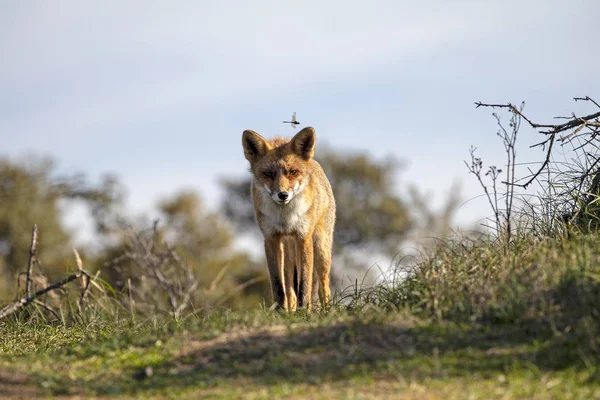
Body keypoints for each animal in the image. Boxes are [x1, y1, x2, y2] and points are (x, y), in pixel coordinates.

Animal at [244, 126, 338, 310]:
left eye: (292, 172)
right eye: (268, 174)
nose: (283, 195)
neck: (285, 218)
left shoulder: (303, 238)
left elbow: (304, 285)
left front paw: (305, 311)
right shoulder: (271, 239)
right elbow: (278, 287)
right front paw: (281, 312)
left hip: (321, 249)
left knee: (323, 285)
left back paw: (326, 310)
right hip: (288, 254)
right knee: (290, 291)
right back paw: (291, 311)